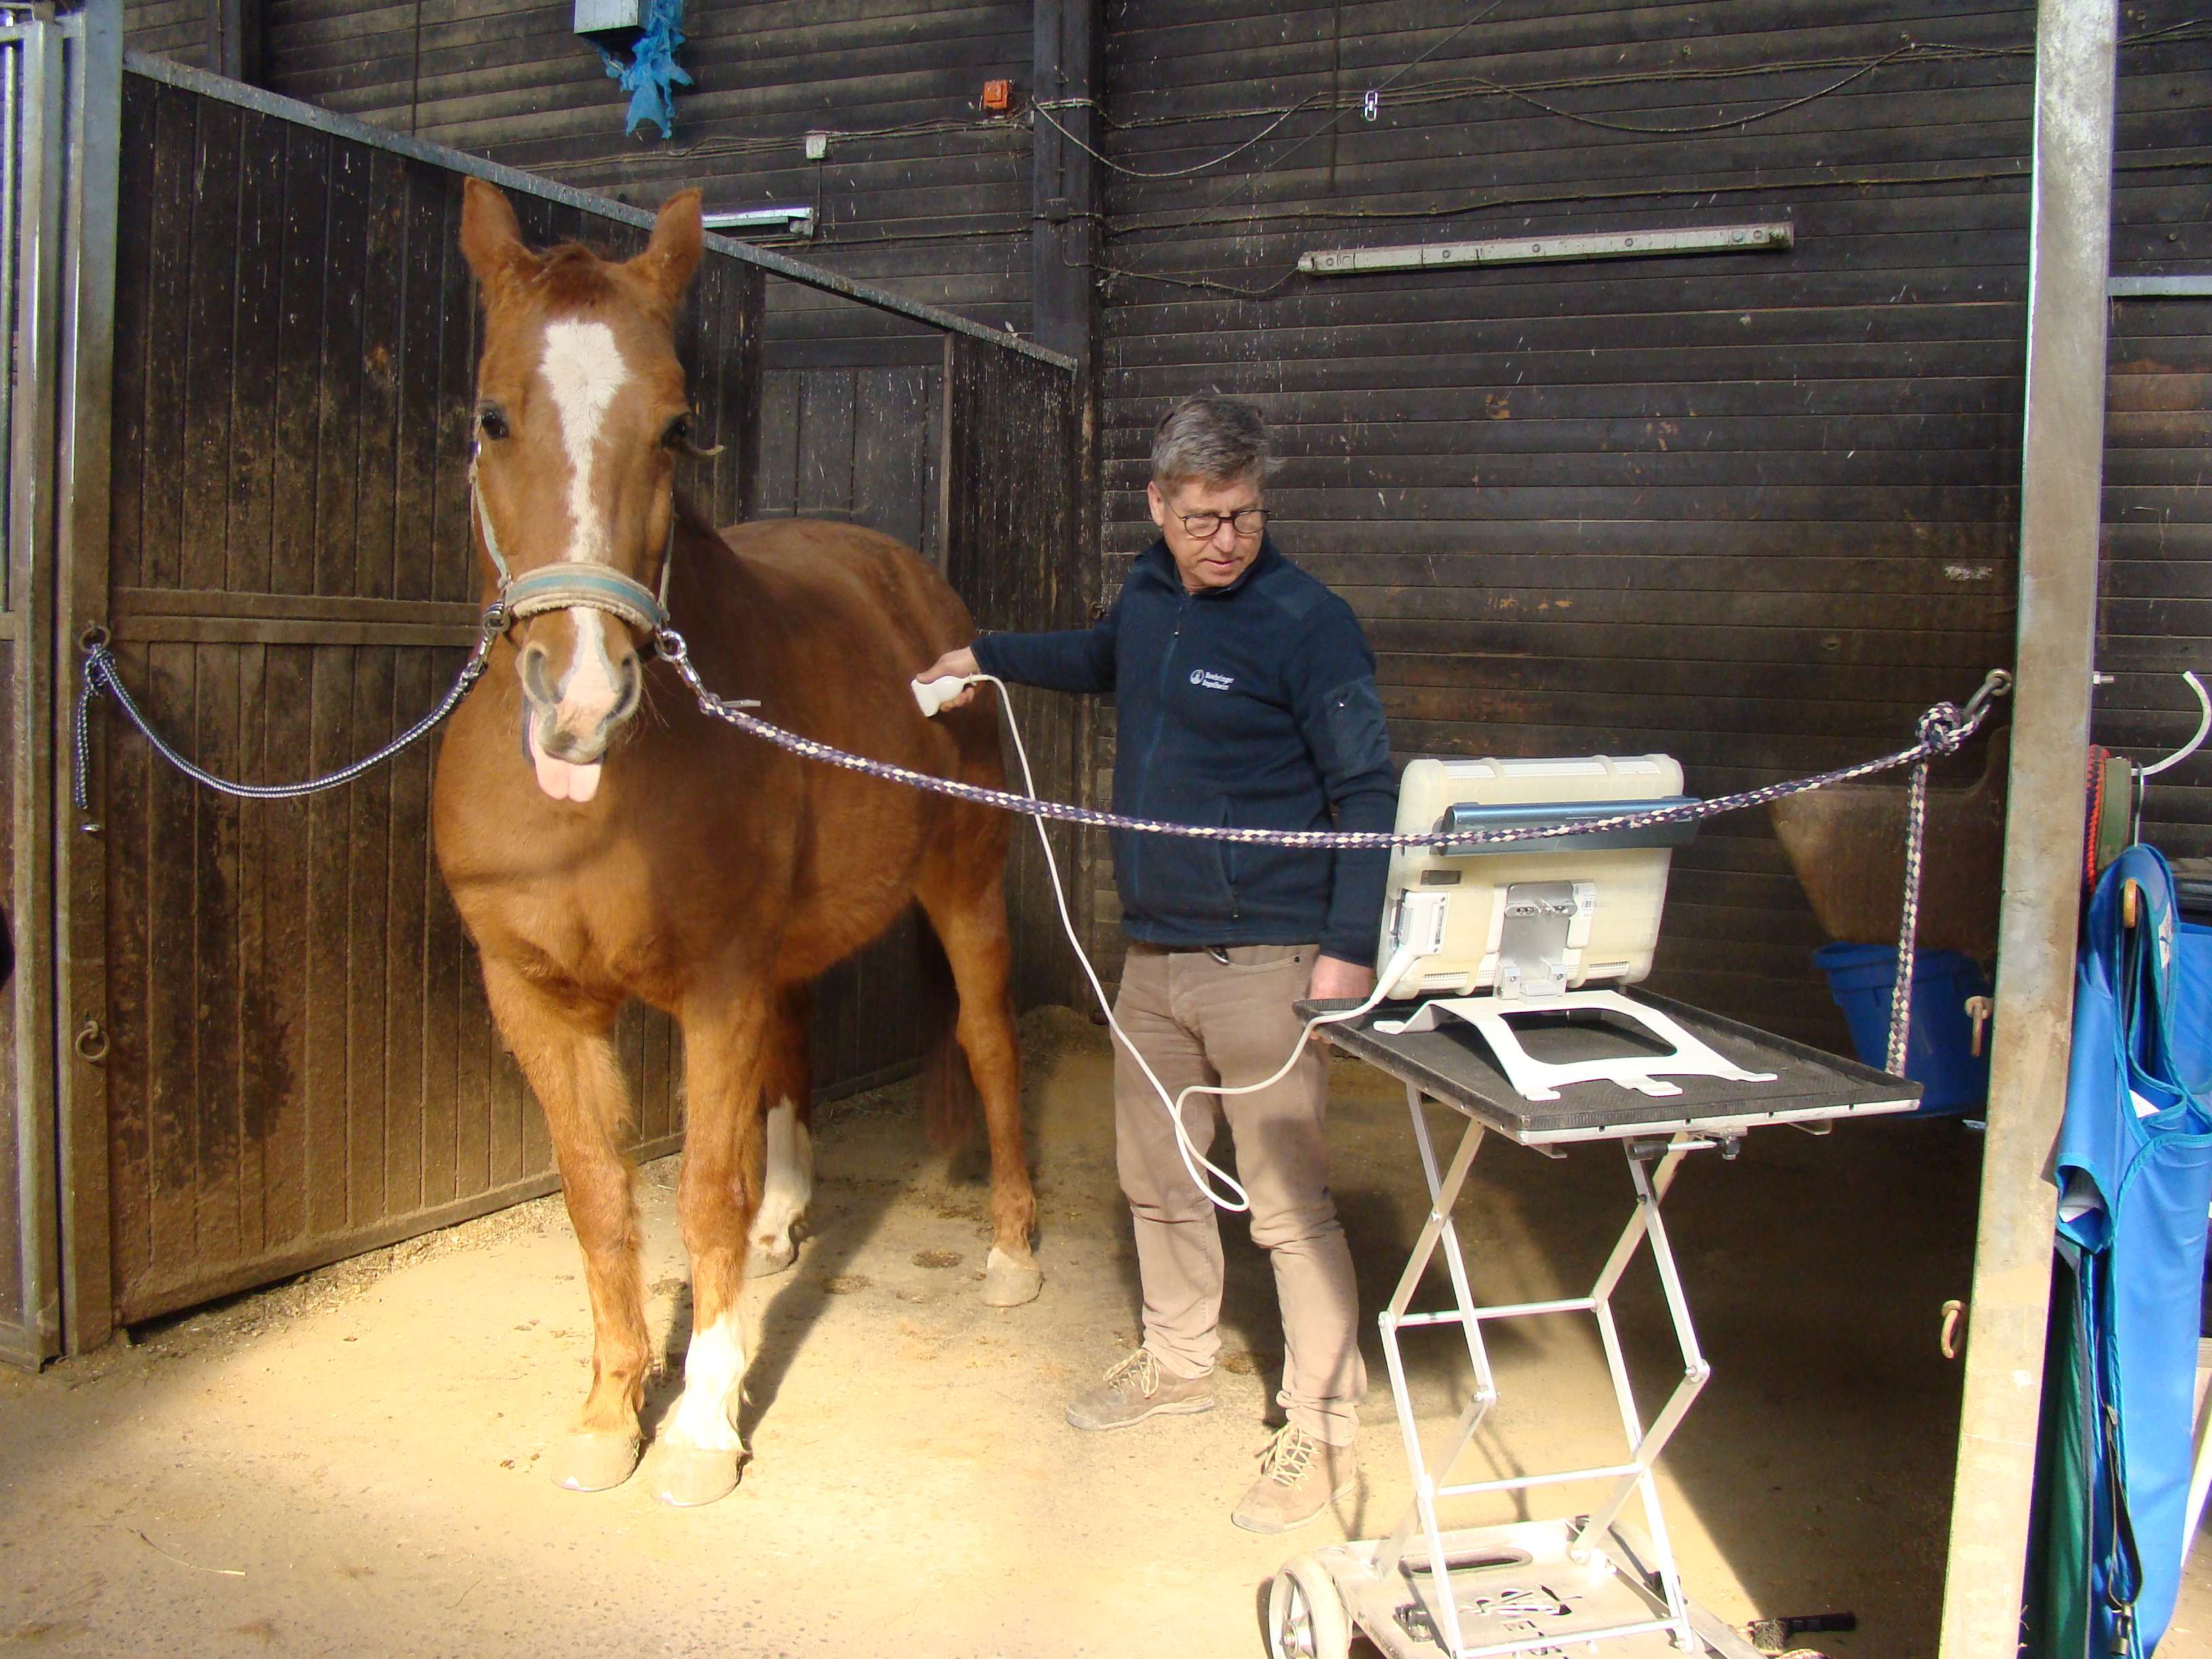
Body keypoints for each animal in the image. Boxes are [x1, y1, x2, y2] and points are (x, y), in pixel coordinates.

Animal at [430, 179, 1041, 1508]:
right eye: (492, 415)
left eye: (674, 425)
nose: (583, 698)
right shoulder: (536, 996)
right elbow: (601, 1197)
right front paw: (609, 1411)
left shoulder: (715, 985)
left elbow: (701, 1193)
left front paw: (703, 1425)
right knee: (797, 1047)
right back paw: (787, 1221)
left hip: (964, 889)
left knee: (988, 1047)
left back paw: (1015, 1250)